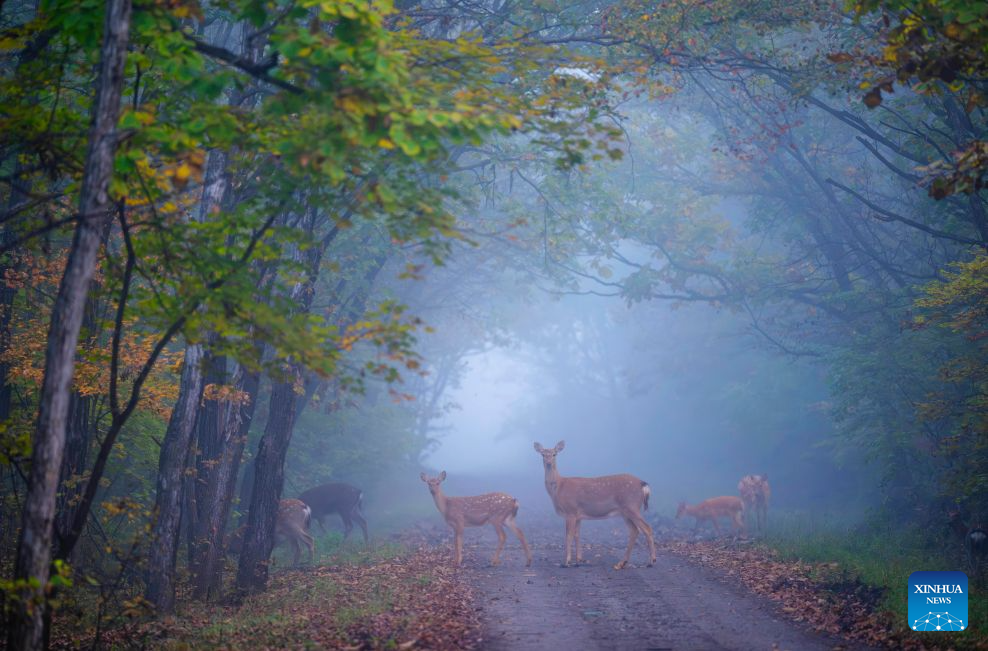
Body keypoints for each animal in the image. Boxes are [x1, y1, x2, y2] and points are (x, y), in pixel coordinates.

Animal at [534, 440, 656, 570]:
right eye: (542, 454)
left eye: (554, 454)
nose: (548, 463)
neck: (558, 488)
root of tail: (643, 484)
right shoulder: (578, 515)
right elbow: (577, 534)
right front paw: (578, 560)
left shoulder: (570, 511)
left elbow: (568, 536)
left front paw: (566, 562)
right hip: (625, 512)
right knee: (634, 531)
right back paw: (622, 563)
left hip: (631, 506)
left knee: (647, 528)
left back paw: (651, 561)